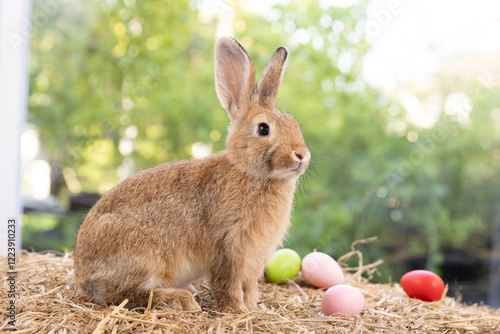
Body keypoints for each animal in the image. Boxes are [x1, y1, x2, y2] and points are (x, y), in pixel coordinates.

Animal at [73, 36, 308, 314]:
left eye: (294, 124)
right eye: (263, 129)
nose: (302, 155)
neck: (250, 173)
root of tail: (83, 276)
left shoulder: (252, 258)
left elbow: (250, 285)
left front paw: (253, 308)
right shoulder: (228, 246)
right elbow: (227, 283)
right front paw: (237, 311)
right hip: (143, 255)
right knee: (125, 294)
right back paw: (180, 299)